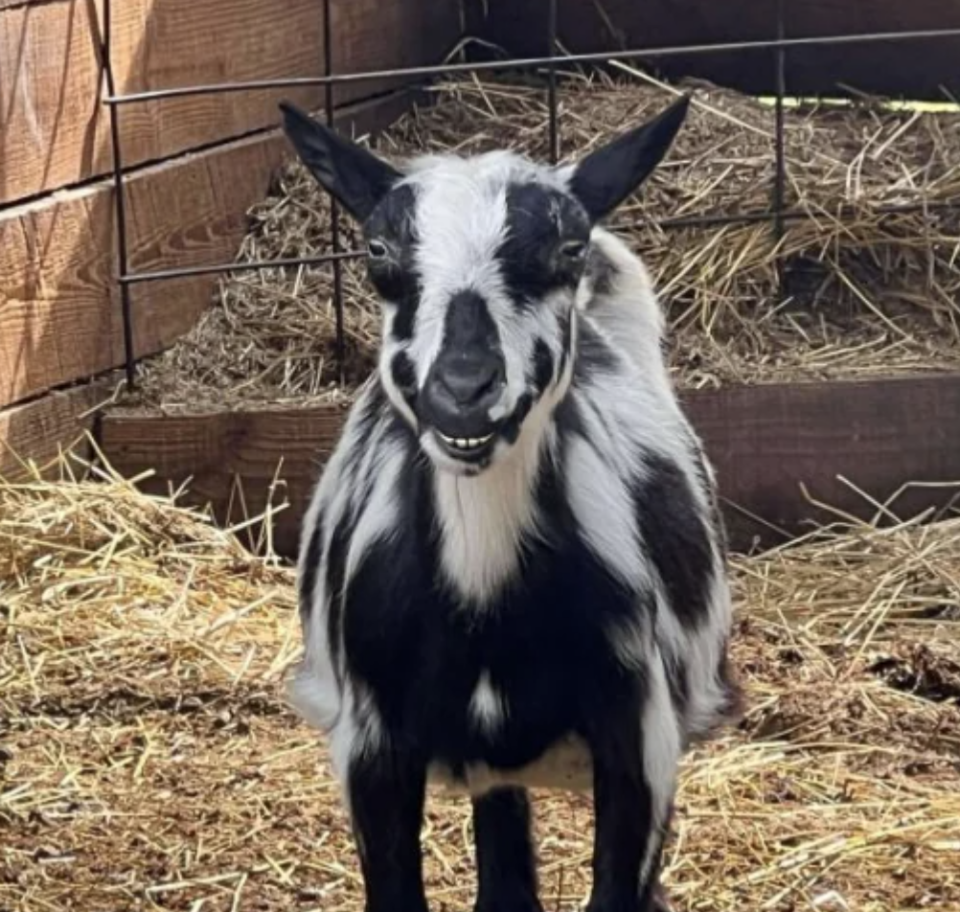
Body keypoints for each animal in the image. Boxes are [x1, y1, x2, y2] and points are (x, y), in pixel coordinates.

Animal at [278, 94, 744, 912]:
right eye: (376, 251)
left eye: (567, 247)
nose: (464, 392)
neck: (483, 596)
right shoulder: (370, 745)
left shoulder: (641, 740)